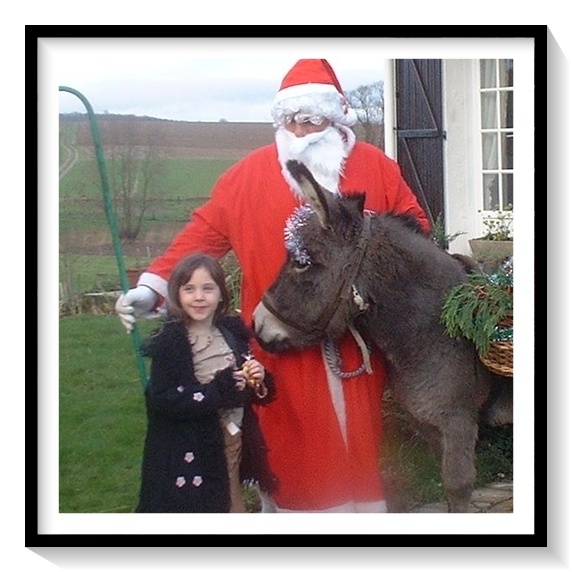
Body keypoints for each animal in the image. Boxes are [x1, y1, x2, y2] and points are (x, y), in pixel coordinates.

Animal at [253, 160, 507, 513]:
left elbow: (457, 489)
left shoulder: (458, 423)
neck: (435, 329)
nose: (257, 325)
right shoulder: (427, 424)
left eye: (303, 262)